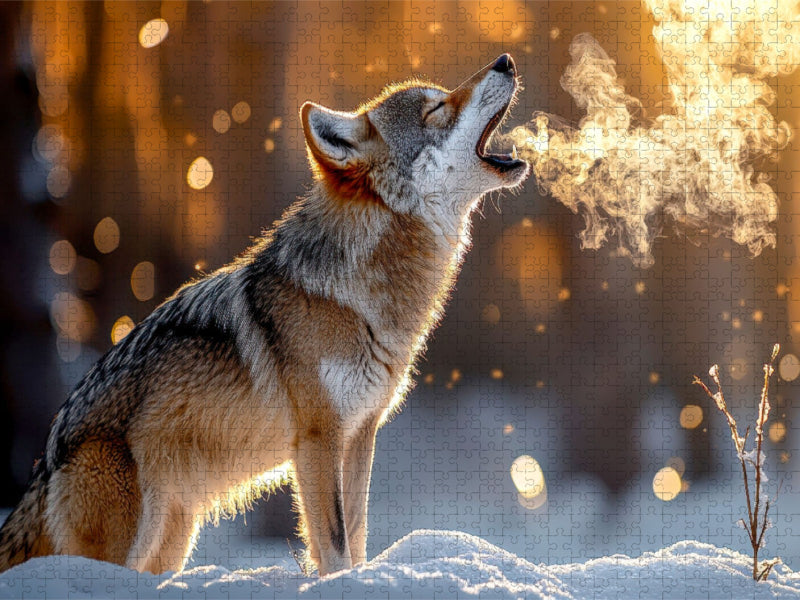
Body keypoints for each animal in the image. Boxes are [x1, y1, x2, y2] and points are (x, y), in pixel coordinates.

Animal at [0, 54, 529, 576]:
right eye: (435, 109)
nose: (505, 60)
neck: (359, 296)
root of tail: (45, 462)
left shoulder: (361, 434)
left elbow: (356, 536)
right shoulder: (317, 440)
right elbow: (334, 544)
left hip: (172, 541)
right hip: (128, 540)